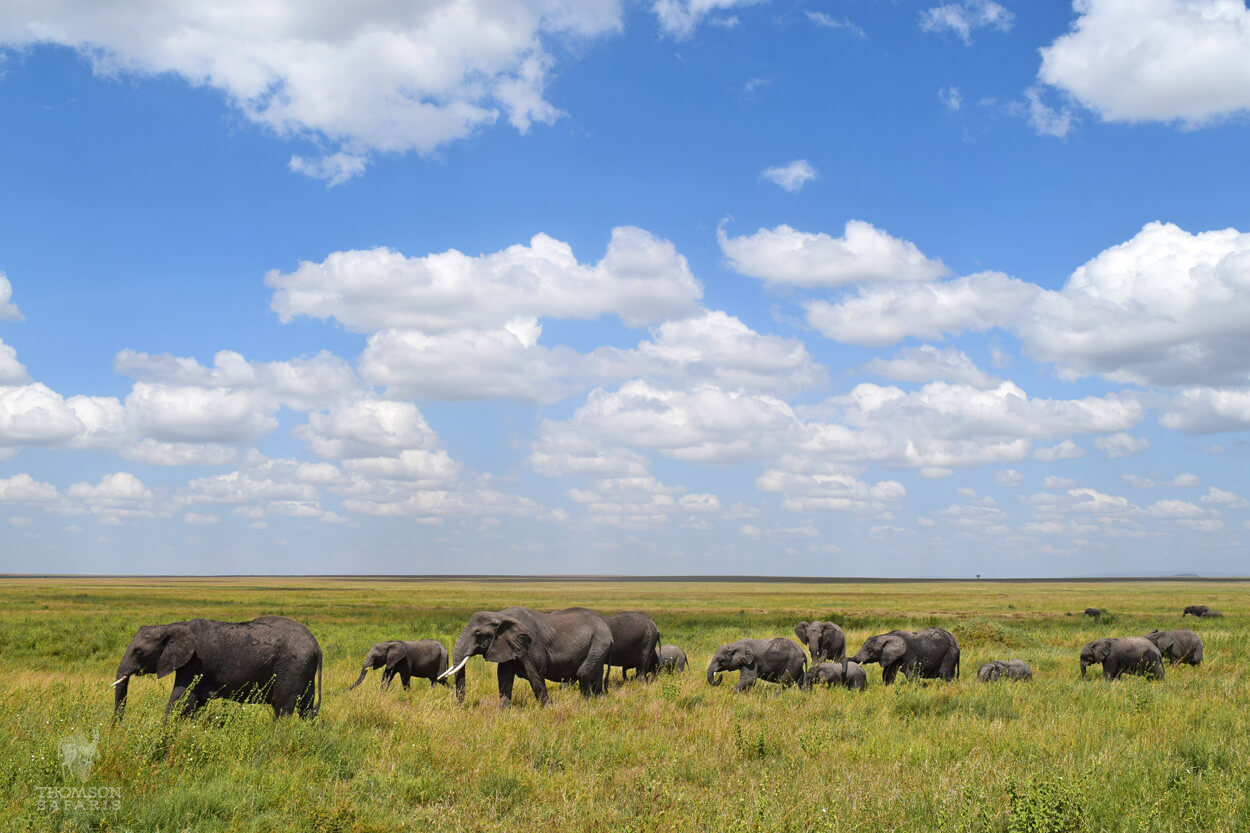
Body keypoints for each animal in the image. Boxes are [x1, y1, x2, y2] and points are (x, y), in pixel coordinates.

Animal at [442, 602, 612, 705]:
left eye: (477, 633)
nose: (461, 706)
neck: (499, 614)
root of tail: (605, 624)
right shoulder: (507, 646)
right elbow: (503, 677)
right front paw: (505, 712)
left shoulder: (531, 647)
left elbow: (535, 676)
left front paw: (547, 709)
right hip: (599, 647)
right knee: (596, 676)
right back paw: (600, 701)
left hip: (599, 642)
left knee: (583, 674)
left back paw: (587, 703)